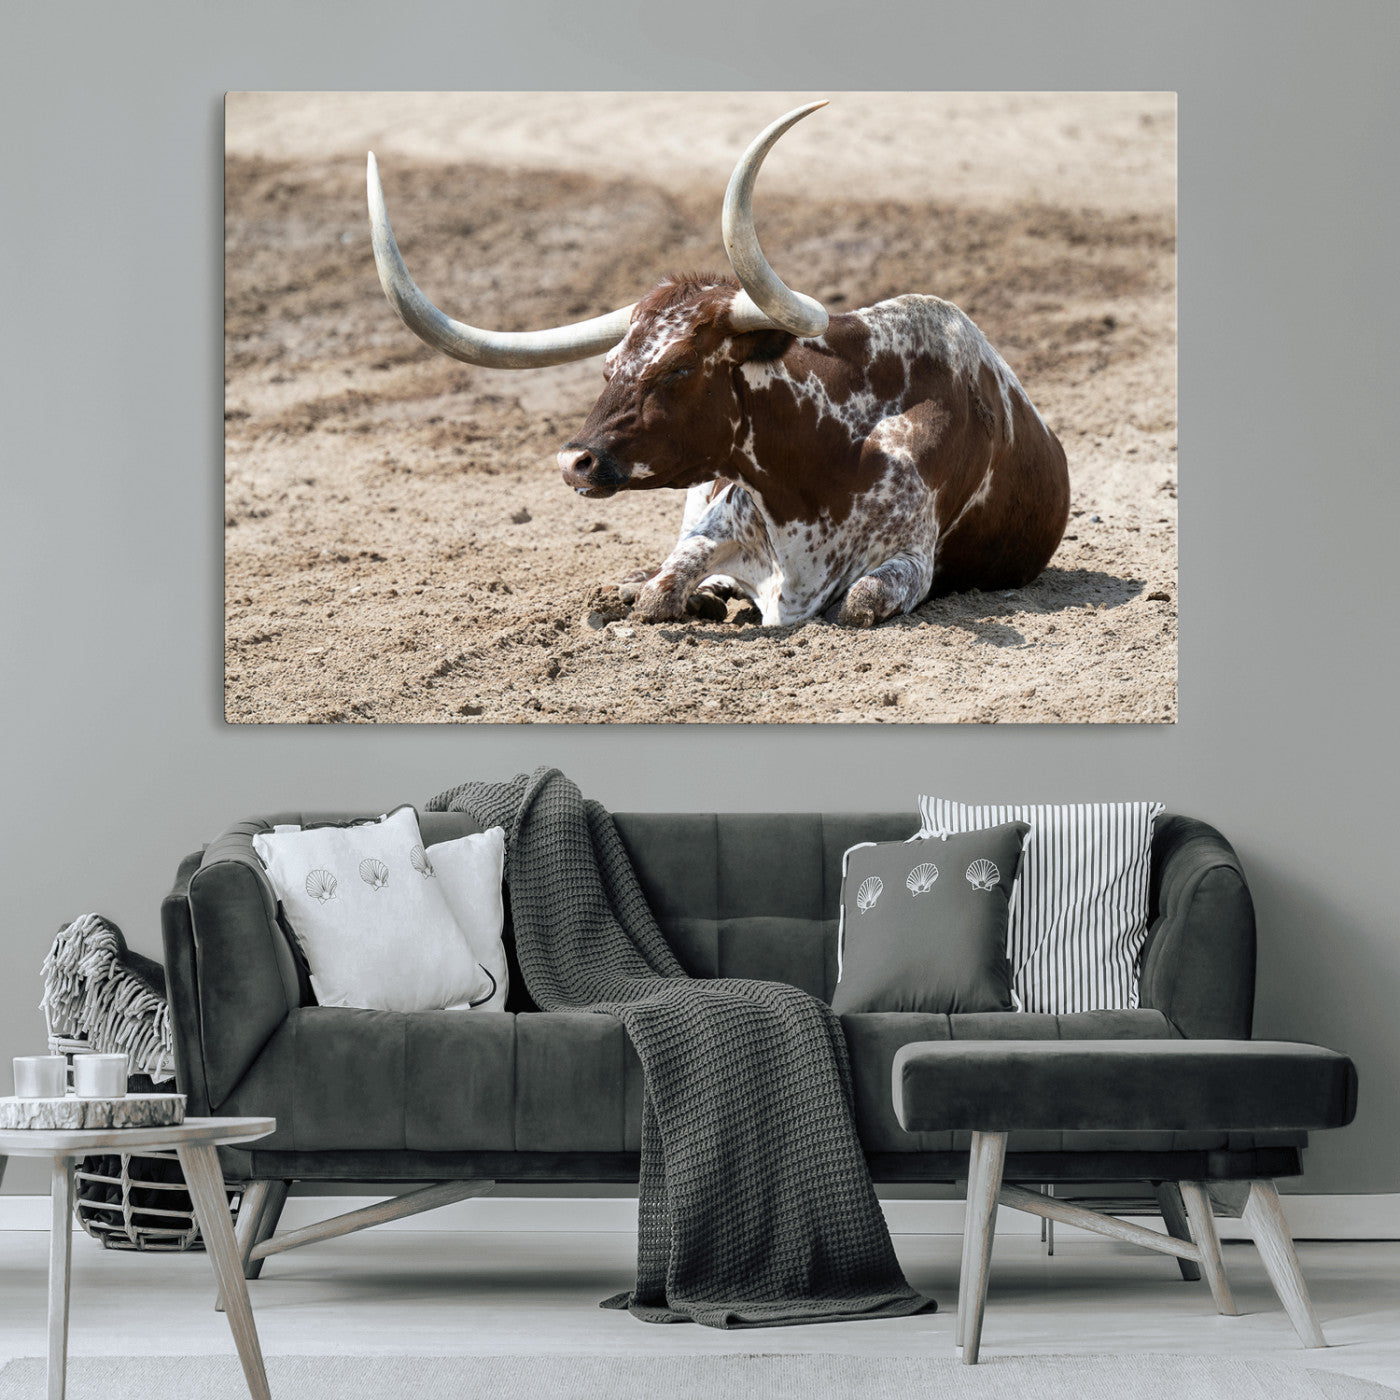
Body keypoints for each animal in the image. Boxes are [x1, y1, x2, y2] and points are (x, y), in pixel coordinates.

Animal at [367, 101, 1070, 627]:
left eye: (679, 368)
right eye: (609, 366)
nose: (574, 461)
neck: (824, 460)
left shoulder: (910, 561)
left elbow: (858, 602)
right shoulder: (714, 523)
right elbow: (660, 590)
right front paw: (668, 593)